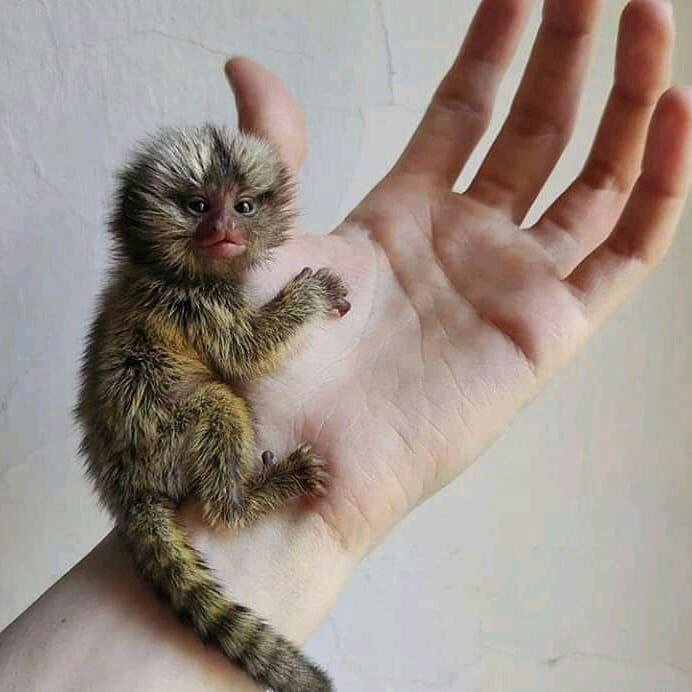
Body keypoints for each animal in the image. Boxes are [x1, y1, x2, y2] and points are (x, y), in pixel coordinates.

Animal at [75, 124, 350, 692]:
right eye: (199, 206)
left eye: (243, 207)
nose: (223, 229)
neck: (172, 268)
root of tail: (126, 486)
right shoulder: (193, 302)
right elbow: (246, 349)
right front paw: (310, 294)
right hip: (163, 440)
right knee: (217, 404)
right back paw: (249, 499)